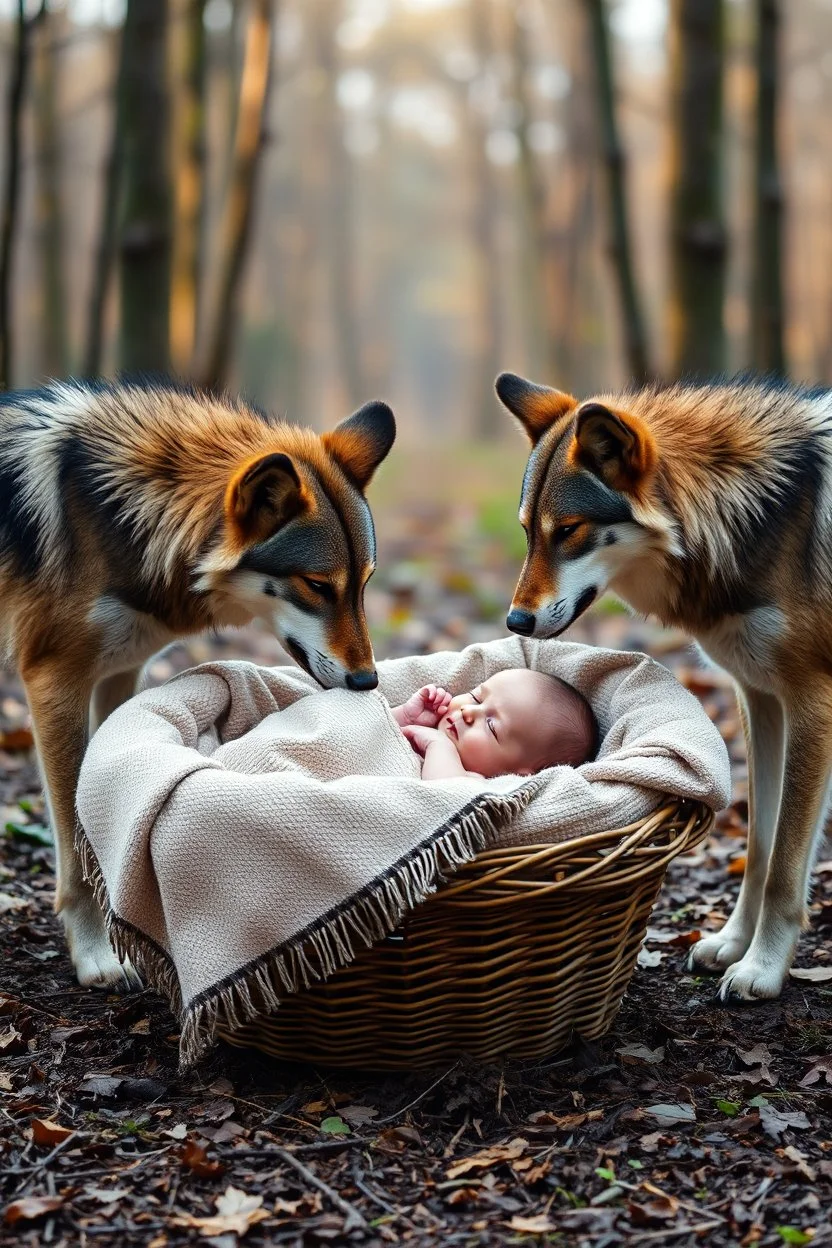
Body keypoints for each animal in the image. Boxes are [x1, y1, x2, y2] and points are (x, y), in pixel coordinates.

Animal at [0, 381, 396, 993]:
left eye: (363, 585)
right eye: (316, 585)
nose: (366, 681)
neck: (124, 514)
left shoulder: (121, 672)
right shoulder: (53, 679)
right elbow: (72, 839)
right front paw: (95, 957)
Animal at [498, 369, 828, 1003]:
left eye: (568, 531)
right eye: (526, 532)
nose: (515, 622)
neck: (760, 513)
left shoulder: (812, 705)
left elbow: (784, 864)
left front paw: (762, 969)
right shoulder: (761, 699)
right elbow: (759, 848)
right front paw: (733, 943)